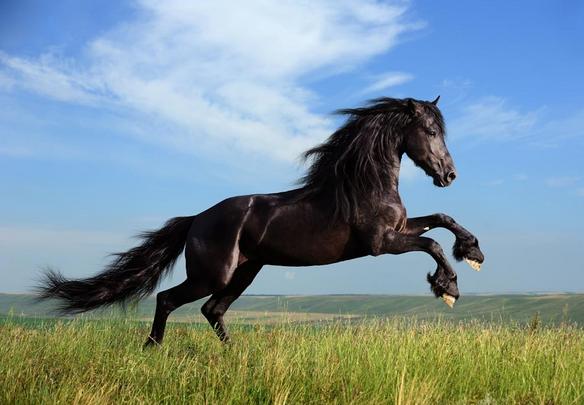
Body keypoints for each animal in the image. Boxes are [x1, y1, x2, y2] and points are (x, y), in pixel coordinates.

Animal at [37, 96, 484, 342]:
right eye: (430, 131)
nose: (449, 175)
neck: (364, 184)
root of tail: (196, 219)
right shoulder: (381, 244)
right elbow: (431, 242)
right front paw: (448, 287)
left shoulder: (397, 230)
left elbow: (441, 218)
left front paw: (473, 252)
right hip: (212, 274)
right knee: (169, 299)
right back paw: (152, 348)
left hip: (245, 272)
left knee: (212, 311)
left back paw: (234, 355)